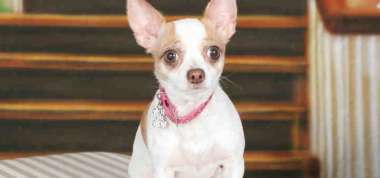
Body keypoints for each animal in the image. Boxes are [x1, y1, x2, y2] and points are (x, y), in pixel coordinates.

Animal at [127, 0, 246, 177]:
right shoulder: (163, 169)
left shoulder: (234, 163)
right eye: (170, 56)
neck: (192, 110)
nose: (196, 74)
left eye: (214, 52)